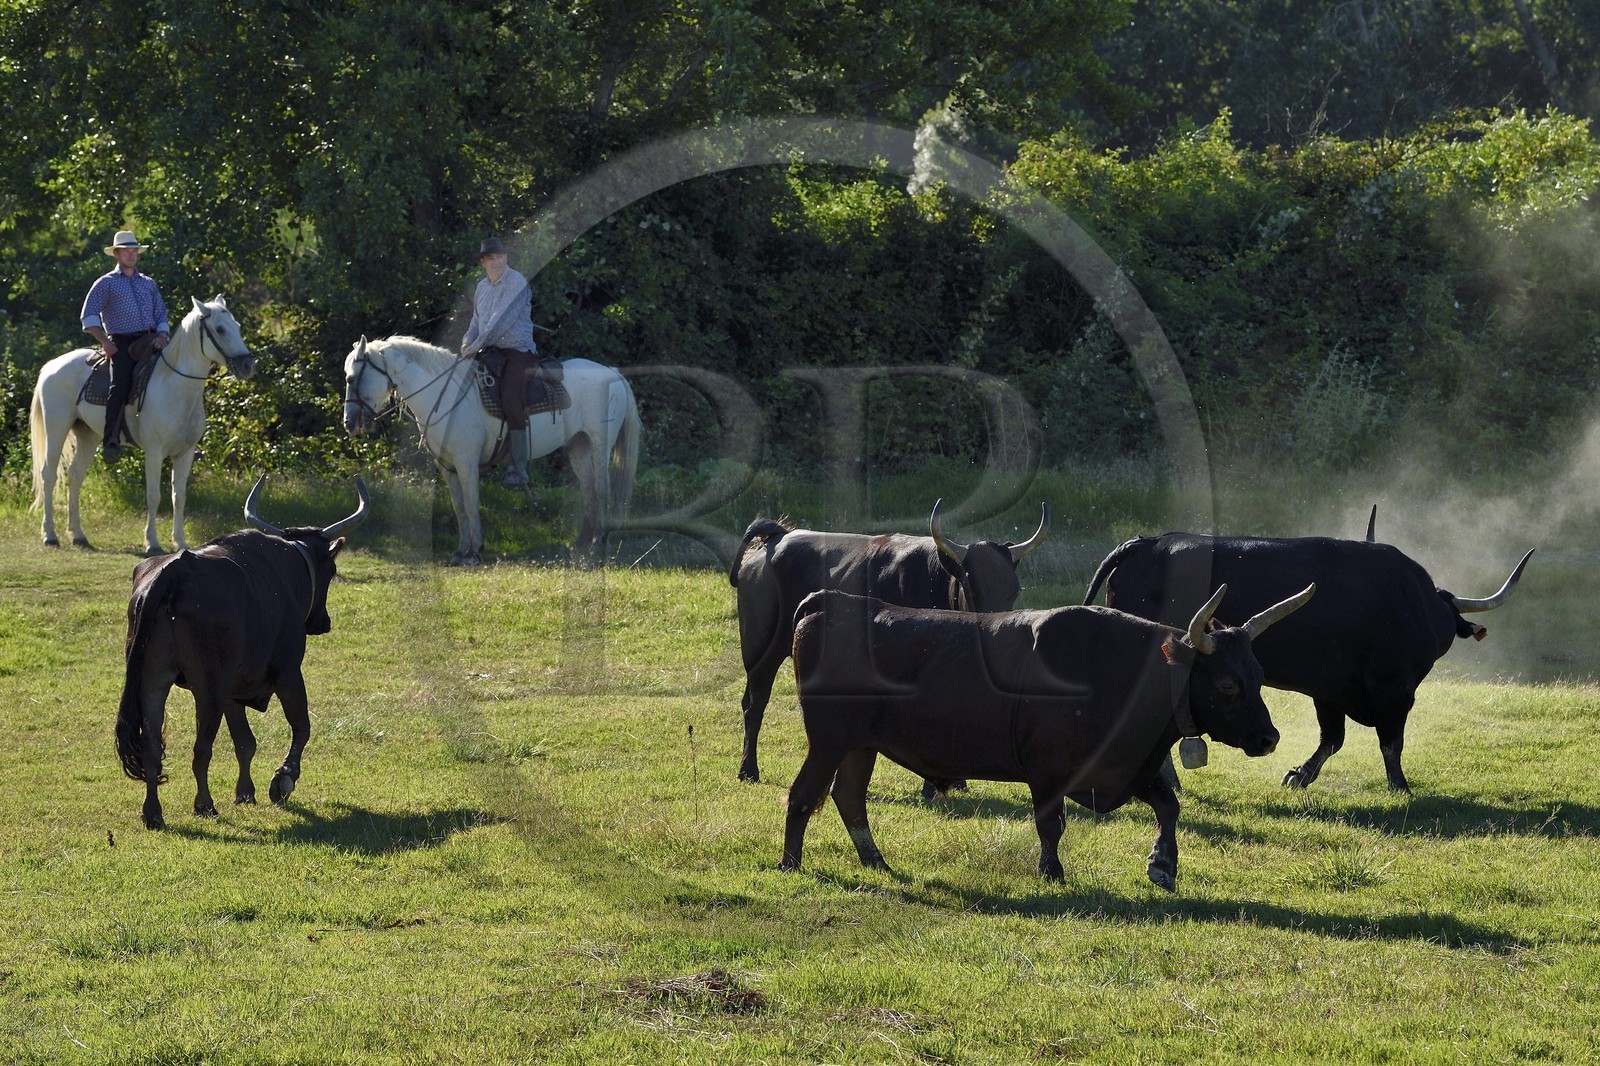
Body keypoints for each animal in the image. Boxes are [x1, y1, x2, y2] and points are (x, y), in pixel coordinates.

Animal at [115, 475, 370, 829]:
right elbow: (301, 726)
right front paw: (283, 779)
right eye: (331, 571)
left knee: (153, 746)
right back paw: (204, 804)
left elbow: (245, 742)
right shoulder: (288, 673)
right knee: (201, 747)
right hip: (208, 685)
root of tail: (172, 572)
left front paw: (245, 791)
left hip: (152, 680)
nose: (324, 622)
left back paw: (153, 812)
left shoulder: (233, 690)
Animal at [730, 499, 1049, 787]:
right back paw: (748, 770)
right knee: (755, 704)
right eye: (970, 587)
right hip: (760, 650)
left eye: (1013, 590)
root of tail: (778, 537)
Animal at [778, 582, 1315, 891]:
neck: (1119, 670)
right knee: (803, 794)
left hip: (861, 744)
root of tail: (829, 603)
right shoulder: (1048, 770)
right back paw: (790, 864)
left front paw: (1163, 863)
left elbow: (1169, 805)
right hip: (829, 739)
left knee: (849, 797)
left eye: (1258, 674)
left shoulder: (1126, 769)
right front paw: (1051, 872)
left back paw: (876, 861)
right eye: (1226, 685)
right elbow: (1050, 824)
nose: (1269, 738)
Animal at [1082, 531, 1534, 792]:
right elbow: (1391, 742)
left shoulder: (1330, 690)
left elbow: (1332, 738)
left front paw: (1300, 775)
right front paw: (1400, 787)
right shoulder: (1395, 691)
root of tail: (1146, 541)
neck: (1417, 604)